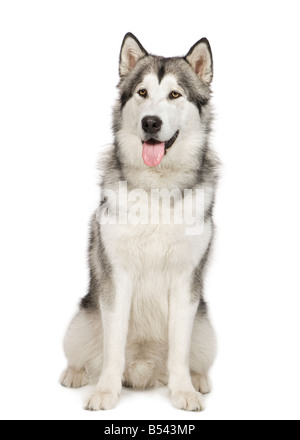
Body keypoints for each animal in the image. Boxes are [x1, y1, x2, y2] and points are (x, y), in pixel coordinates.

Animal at [61, 32, 219, 410]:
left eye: (175, 94)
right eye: (142, 92)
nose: (150, 122)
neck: (156, 187)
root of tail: (144, 368)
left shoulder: (185, 281)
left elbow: (180, 348)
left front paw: (183, 391)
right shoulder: (116, 278)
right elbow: (113, 346)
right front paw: (105, 391)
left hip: (206, 329)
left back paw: (197, 379)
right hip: (82, 320)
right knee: (85, 354)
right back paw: (75, 374)